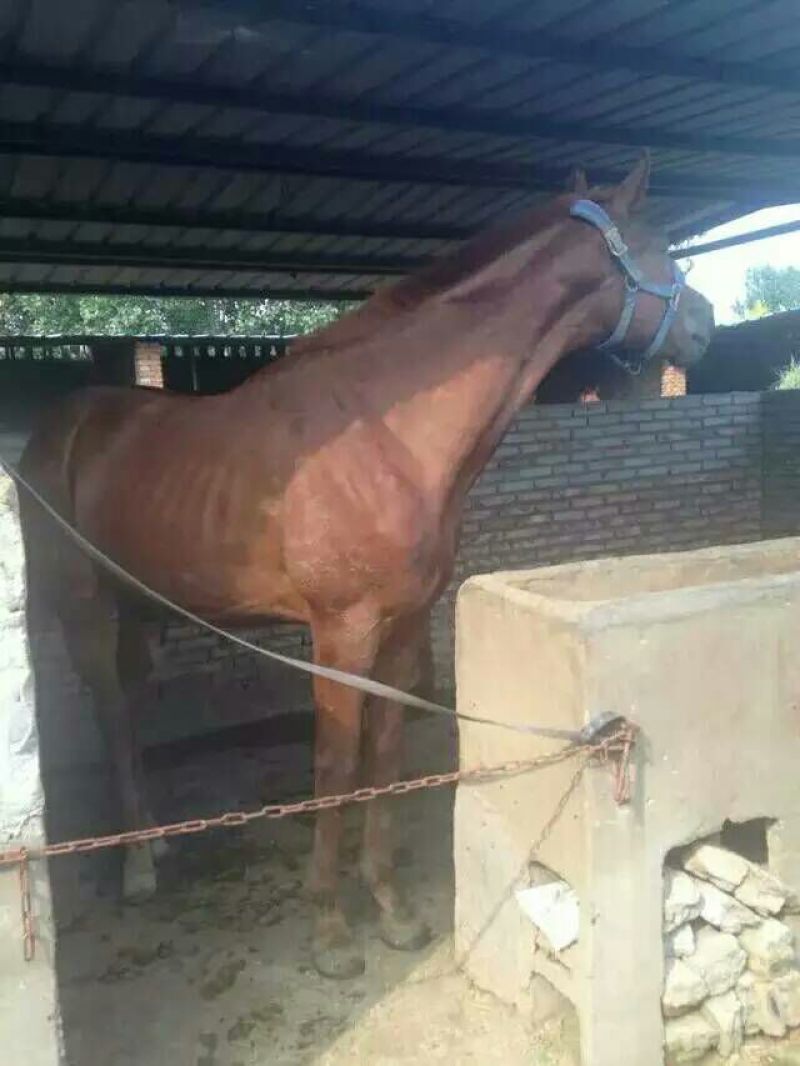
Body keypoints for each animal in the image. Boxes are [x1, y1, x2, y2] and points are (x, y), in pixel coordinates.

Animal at [19, 156, 713, 979]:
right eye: (660, 244)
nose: (705, 325)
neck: (388, 432)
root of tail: (57, 428)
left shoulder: (406, 626)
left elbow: (385, 756)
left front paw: (390, 908)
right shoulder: (341, 633)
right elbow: (336, 764)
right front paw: (328, 929)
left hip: (139, 607)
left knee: (123, 707)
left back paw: (150, 843)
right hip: (85, 605)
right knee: (109, 708)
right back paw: (137, 869)